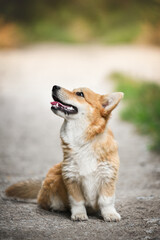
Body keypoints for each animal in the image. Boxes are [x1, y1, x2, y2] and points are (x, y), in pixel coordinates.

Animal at [5, 85, 123, 222]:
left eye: (80, 94)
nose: (54, 86)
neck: (84, 141)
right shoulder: (71, 177)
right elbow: (77, 201)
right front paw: (79, 214)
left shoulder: (107, 177)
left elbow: (106, 200)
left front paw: (110, 214)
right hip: (53, 179)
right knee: (42, 202)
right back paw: (57, 207)